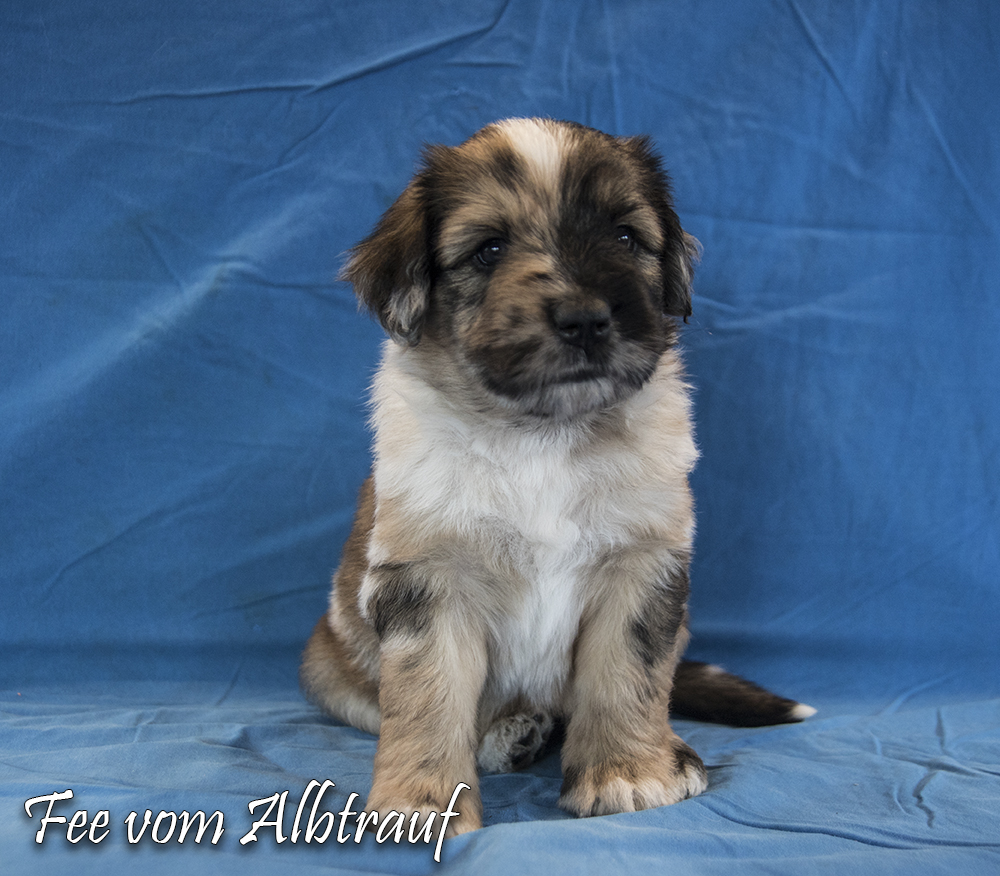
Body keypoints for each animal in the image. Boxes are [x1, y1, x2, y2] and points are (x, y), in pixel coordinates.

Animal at [301, 118, 814, 836]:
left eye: (625, 237)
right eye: (488, 250)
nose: (586, 319)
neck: (540, 433)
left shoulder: (641, 565)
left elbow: (629, 676)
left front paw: (629, 772)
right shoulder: (429, 581)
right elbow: (428, 698)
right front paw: (420, 802)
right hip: (329, 663)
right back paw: (514, 733)